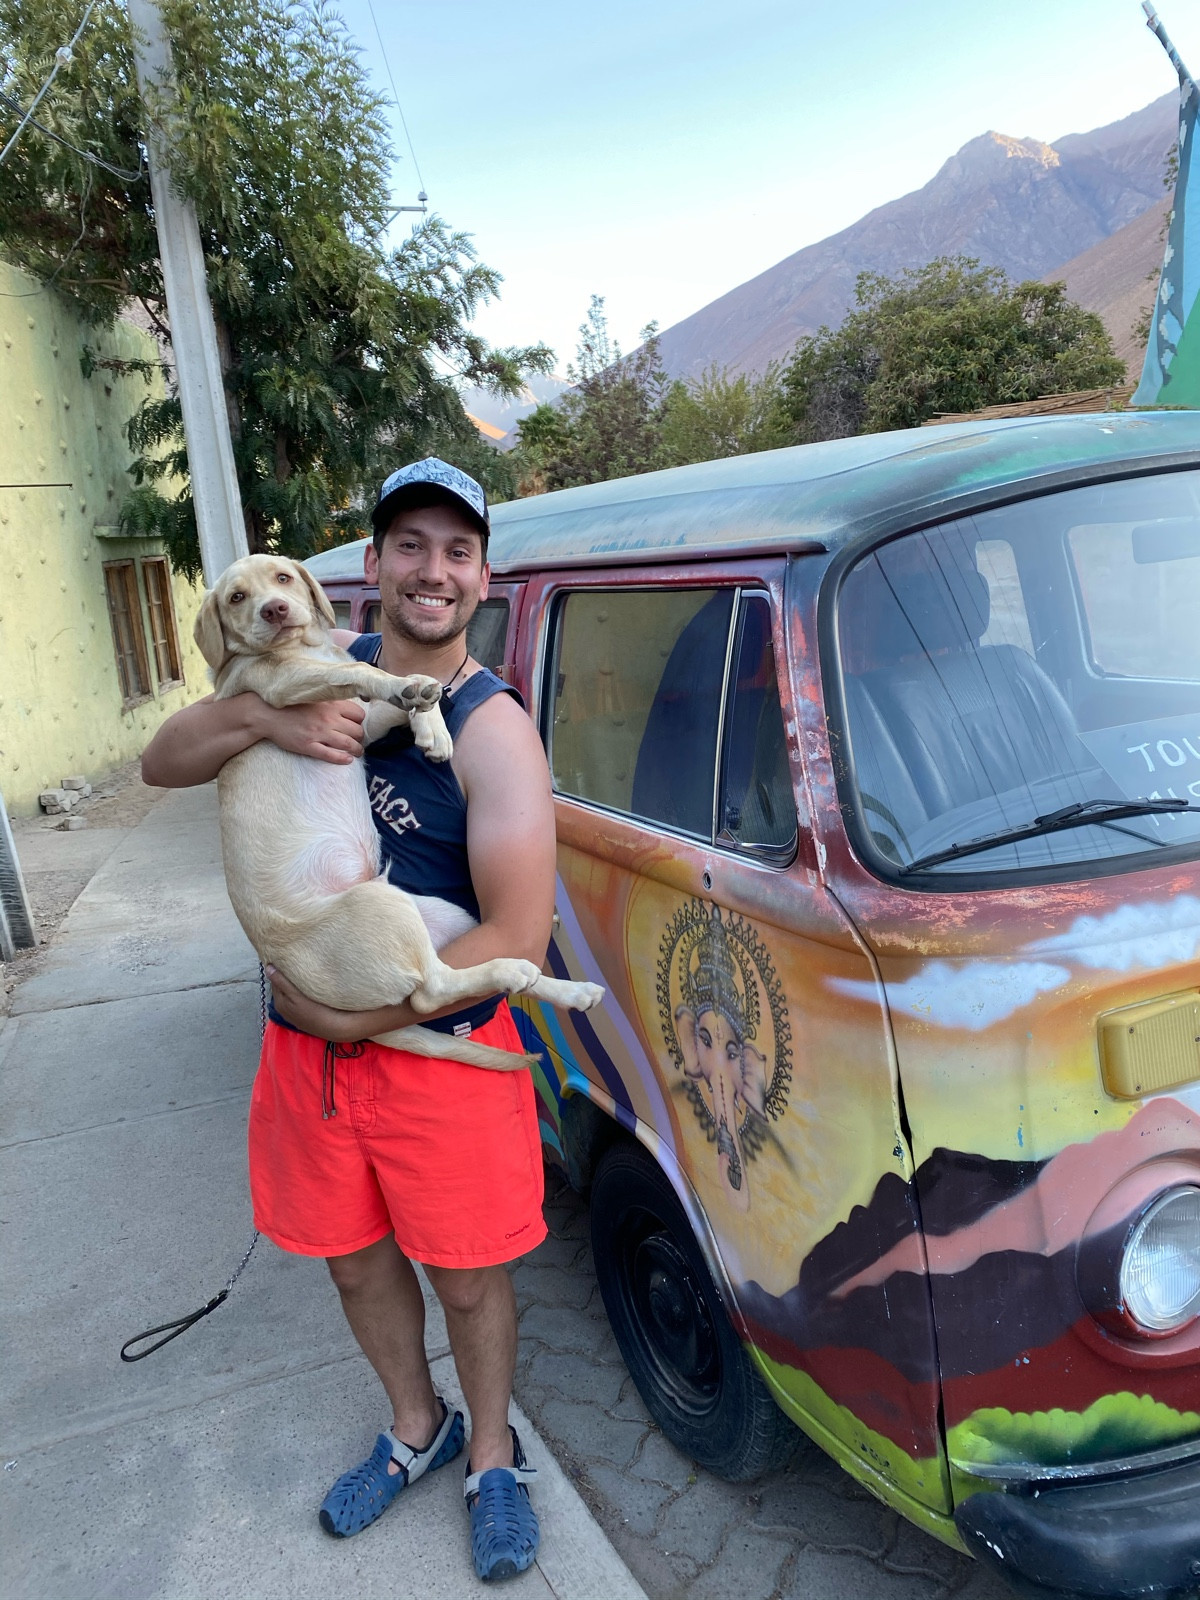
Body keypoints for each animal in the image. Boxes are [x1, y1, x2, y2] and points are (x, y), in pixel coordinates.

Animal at [193, 553, 603, 1071]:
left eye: (283, 578)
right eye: (236, 598)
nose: (276, 610)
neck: (307, 648)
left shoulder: (359, 724)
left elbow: (401, 704)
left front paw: (432, 722)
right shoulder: (284, 685)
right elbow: (365, 673)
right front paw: (409, 687)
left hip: (443, 916)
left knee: (457, 974)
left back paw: (571, 989)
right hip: (383, 908)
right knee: (430, 992)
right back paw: (512, 971)